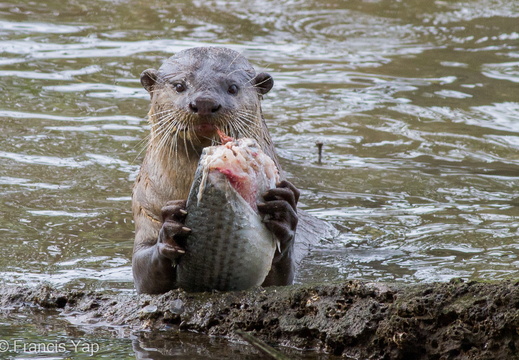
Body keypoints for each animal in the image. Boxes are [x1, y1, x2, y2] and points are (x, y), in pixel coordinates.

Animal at [134, 47, 302, 296]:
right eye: (179, 85)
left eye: (232, 87)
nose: (204, 102)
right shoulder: (146, 209)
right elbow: (143, 274)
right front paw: (171, 228)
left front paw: (284, 210)